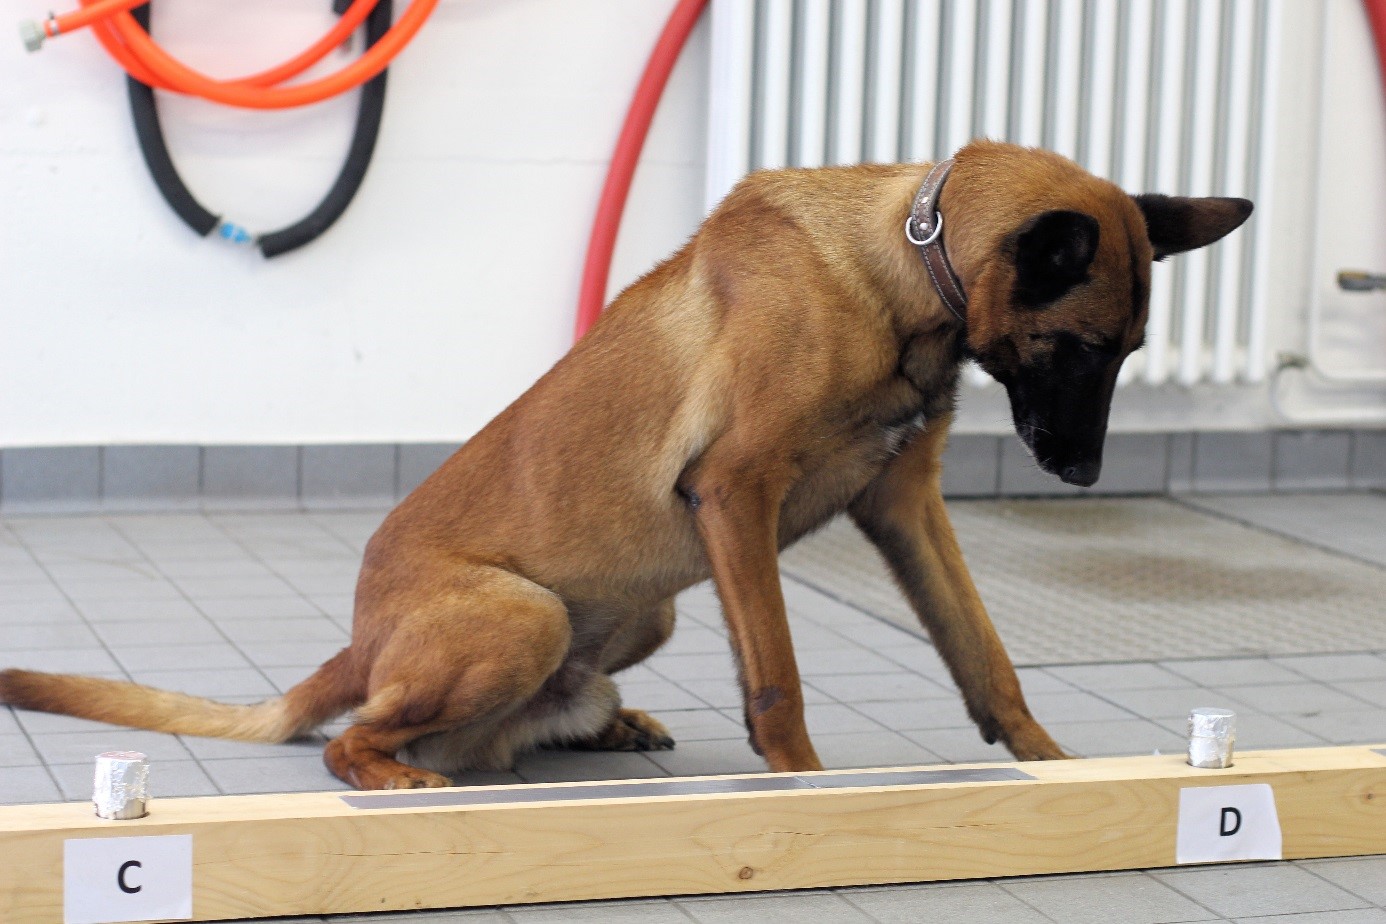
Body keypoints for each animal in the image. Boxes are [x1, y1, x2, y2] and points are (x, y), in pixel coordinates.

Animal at [0, 142, 1252, 786]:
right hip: (525, 615)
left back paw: (598, 725)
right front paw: (804, 789)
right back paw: (396, 773)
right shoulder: (733, 495)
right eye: (1077, 349)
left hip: (644, 612)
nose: (1083, 477)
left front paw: (1053, 765)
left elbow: (984, 656)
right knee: (352, 740)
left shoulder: (906, 508)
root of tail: (358, 648)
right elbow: (778, 675)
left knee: (503, 730)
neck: (901, 264)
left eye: (1128, 355)